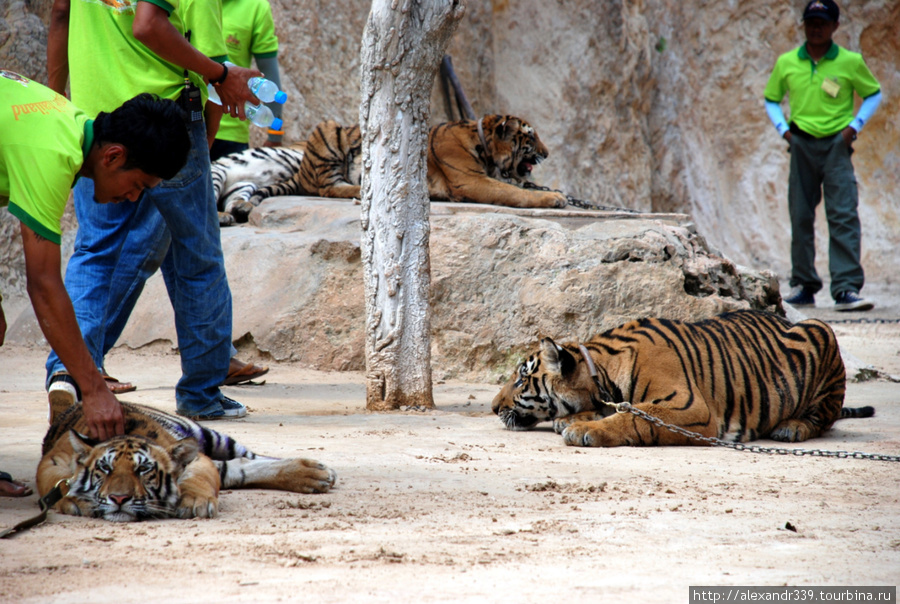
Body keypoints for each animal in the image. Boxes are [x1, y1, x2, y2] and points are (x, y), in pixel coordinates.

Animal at [35, 402, 338, 524]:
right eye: (104, 470)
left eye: (143, 470)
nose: (119, 498)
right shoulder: (54, 459)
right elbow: (53, 481)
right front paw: (78, 499)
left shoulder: (197, 458)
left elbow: (198, 480)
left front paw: (194, 502)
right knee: (238, 467)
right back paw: (316, 475)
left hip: (205, 434)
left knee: (247, 457)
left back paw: (318, 472)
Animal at [211, 114, 564, 225]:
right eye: (531, 137)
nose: (547, 154)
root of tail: (301, 170)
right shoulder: (470, 181)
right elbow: (514, 192)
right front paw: (553, 200)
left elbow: (523, 186)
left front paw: (556, 192)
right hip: (329, 131)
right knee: (327, 187)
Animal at [492, 310, 872, 446]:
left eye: (521, 380)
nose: (493, 407)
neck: (602, 374)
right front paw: (573, 418)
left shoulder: (688, 408)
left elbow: (633, 417)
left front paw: (583, 429)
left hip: (821, 330)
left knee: (824, 418)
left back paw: (792, 428)